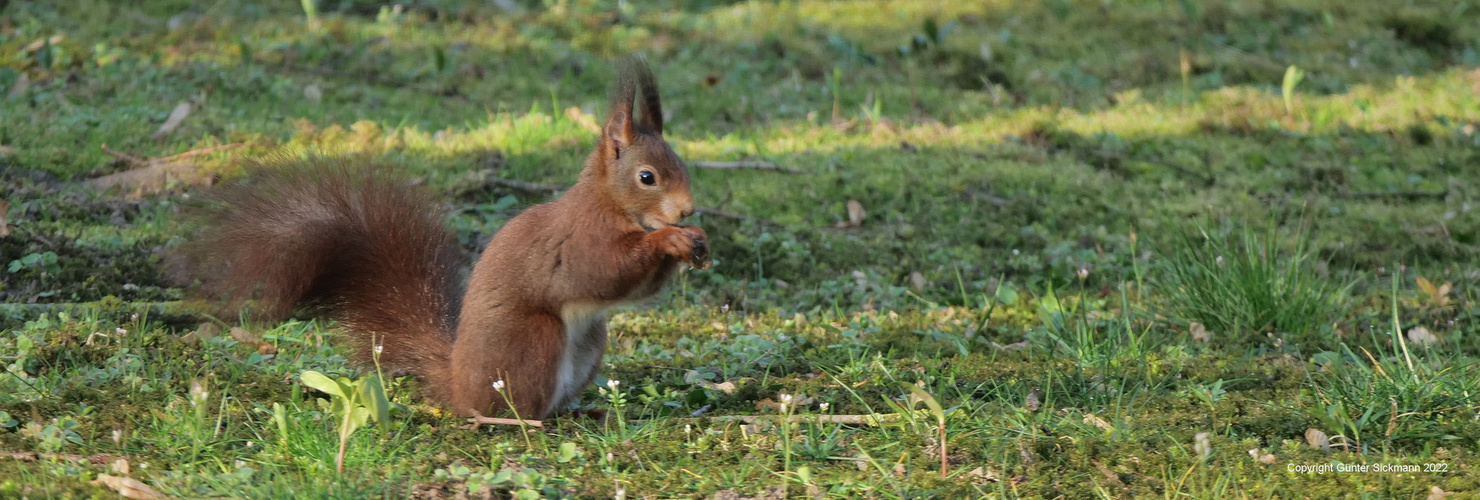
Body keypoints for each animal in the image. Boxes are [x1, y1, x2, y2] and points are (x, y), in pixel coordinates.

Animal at [186, 57, 710, 417]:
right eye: (647, 177)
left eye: (680, 163)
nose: (687, 210)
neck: (609, 203)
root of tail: (457, 385)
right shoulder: (581, 239)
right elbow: (603, 272)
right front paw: (669, 240)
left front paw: (694, 238)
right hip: (532, 339)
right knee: (511, 409)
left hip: (591, 340)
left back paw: (586, 412)